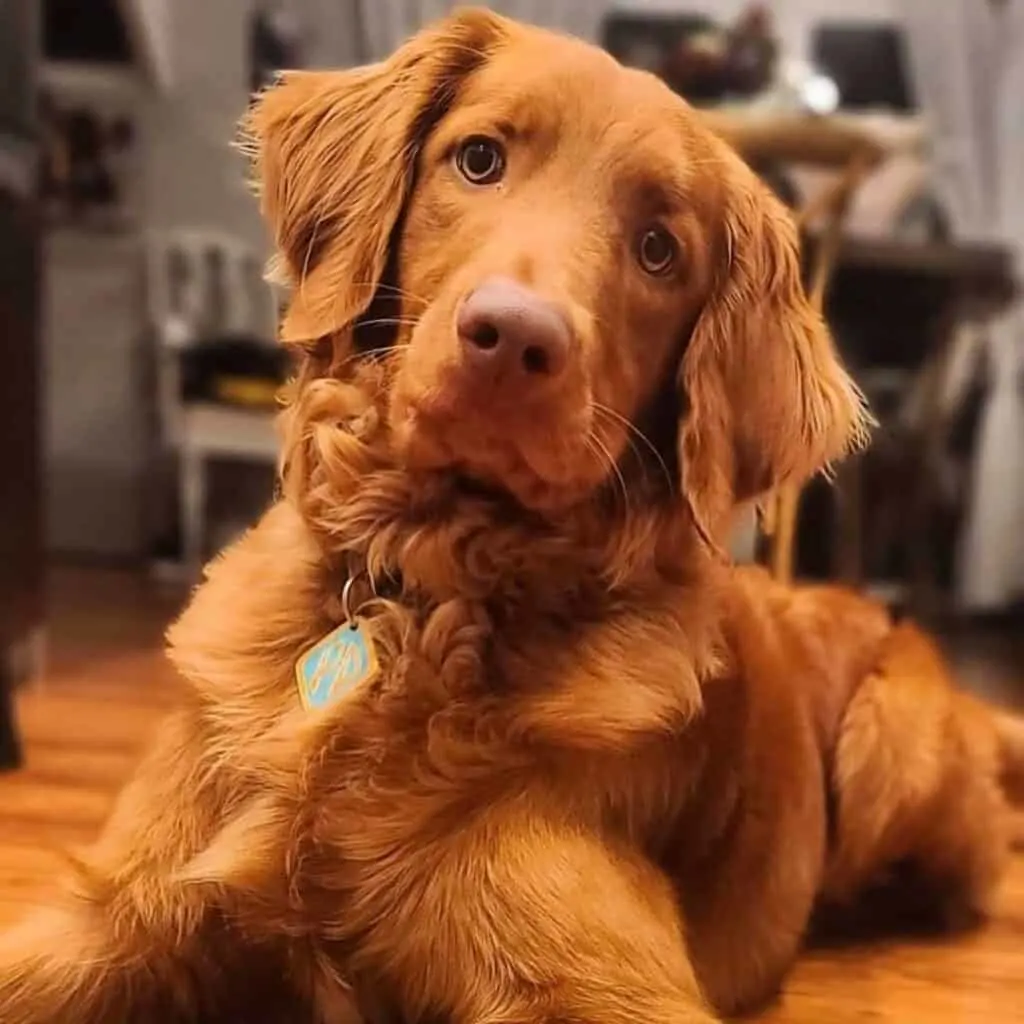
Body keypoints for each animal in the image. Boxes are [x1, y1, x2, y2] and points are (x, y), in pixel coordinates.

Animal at [4, 9, 1019, 1024]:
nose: (513, 338)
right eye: (480, 159)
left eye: (660, 250)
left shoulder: (600, 987)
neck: (421, 595)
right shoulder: (122, 907)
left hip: (889, 745)